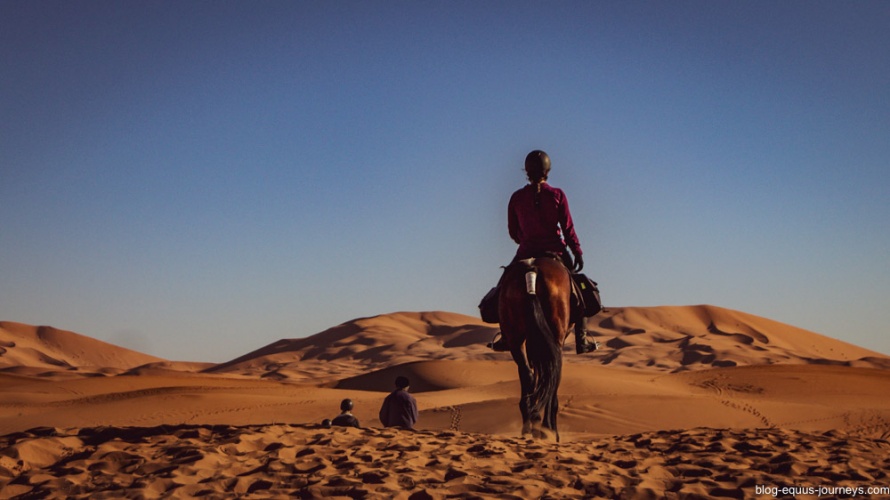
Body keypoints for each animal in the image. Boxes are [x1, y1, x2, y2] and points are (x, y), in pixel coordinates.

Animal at [496, 254, 572, 442]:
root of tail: (532, 270)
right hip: (555, 335)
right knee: (552, 376)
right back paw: (546, 429)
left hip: (515, 337)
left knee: (528, 374)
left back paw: (529, 426)